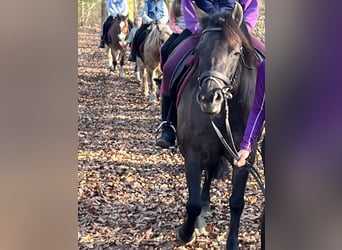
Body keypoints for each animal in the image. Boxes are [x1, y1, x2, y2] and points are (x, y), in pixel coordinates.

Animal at [176, 3, 260, 250]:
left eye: (235, 52)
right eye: (199, 51)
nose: (208, 99)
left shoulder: (244, 157)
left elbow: (237, 203)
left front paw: (232, 243)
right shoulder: (193, 153)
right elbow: (192, 203)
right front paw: (187, 232)